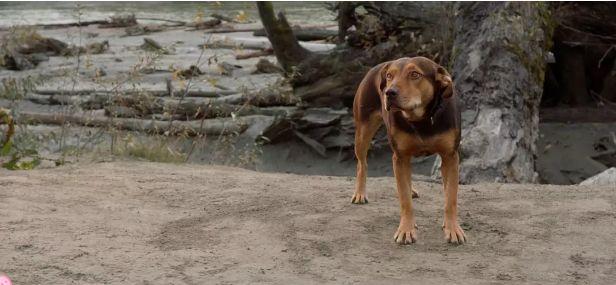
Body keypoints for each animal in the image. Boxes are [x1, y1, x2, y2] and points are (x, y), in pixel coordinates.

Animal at [348, 56, 464, 244]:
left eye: (415, 74)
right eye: (389, 76)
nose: (389, 92)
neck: (421, 119)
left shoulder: (450, 157)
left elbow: (450, 198)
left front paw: (452, 229)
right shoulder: (400, 157)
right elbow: (405, 201)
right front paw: (406, 230)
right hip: (363, 131)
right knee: (362, 163)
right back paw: (359, 193)